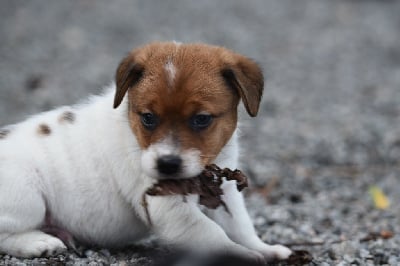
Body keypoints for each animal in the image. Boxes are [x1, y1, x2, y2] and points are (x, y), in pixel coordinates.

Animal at [0, 42, 290, 262]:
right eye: (148, 117)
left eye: (201, 119)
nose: (168, 163)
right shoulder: (168, 208)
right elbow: (212, 233)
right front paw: (240, 254)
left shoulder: (224, 192)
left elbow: (241, 226)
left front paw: (264, 249)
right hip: (28, 198)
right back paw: (39, 243)